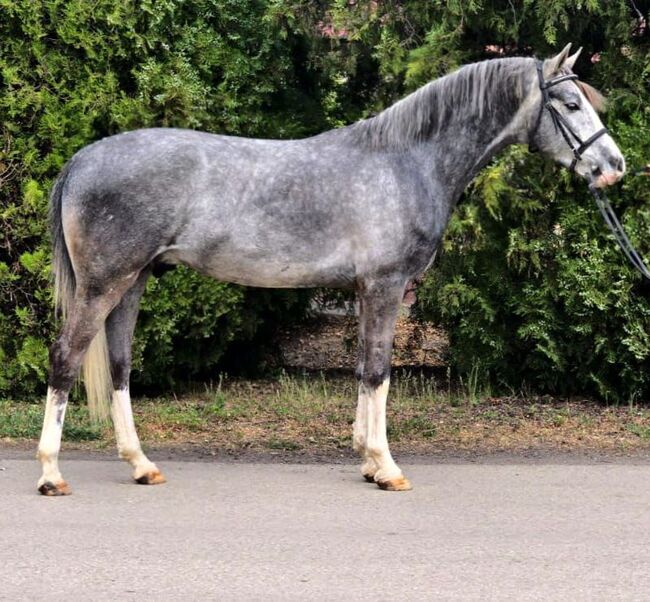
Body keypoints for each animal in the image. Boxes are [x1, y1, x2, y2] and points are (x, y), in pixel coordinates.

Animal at [36, 41, 624, 492]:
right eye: (570, 103)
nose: (614, 167)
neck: (405, 161)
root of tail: (83, 159)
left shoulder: (367, 290)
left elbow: (365, 370)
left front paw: (367, 460)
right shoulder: (386, 286)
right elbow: (380, 370)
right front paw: (386, 467)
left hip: (131, 282)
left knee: (118, 364)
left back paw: (141, 465)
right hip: (102, 284)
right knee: (66, 357)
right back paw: (50, 474)